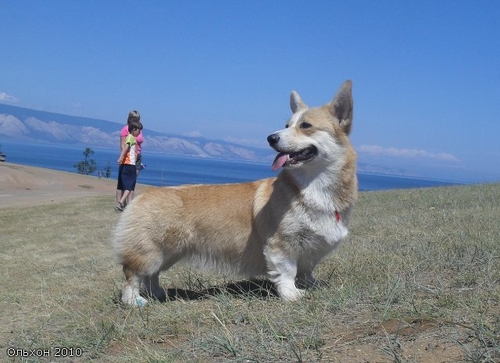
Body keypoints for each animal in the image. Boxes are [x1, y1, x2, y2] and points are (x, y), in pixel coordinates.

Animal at [112, 81, 356, 306]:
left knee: (152, 275)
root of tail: (142, 196)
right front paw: (291, 294)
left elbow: (306, 270)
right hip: (150, 252)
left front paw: (312, 285)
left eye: (306, 125)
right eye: (286, 125)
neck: (313, 188)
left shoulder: (313, 250)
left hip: (169, 253)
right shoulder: (281, 246)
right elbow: (287, 272)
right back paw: (134, 300)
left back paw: (158, 294)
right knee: (133, 275)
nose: (271, 138)